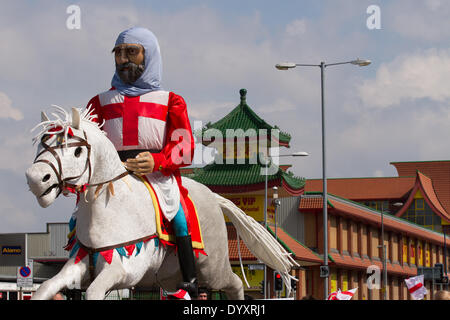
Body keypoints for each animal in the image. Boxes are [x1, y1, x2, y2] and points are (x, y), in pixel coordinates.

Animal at [26, 107, 298, 300]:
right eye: (42, 144)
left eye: (77, 151)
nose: (36, 178)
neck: (106, 209)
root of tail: (214, 196)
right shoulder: (79, 264)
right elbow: (45, 287)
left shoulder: (124, 269)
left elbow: (94, 291)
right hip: (172, 276)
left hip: (213, 268)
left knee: (235, 284)